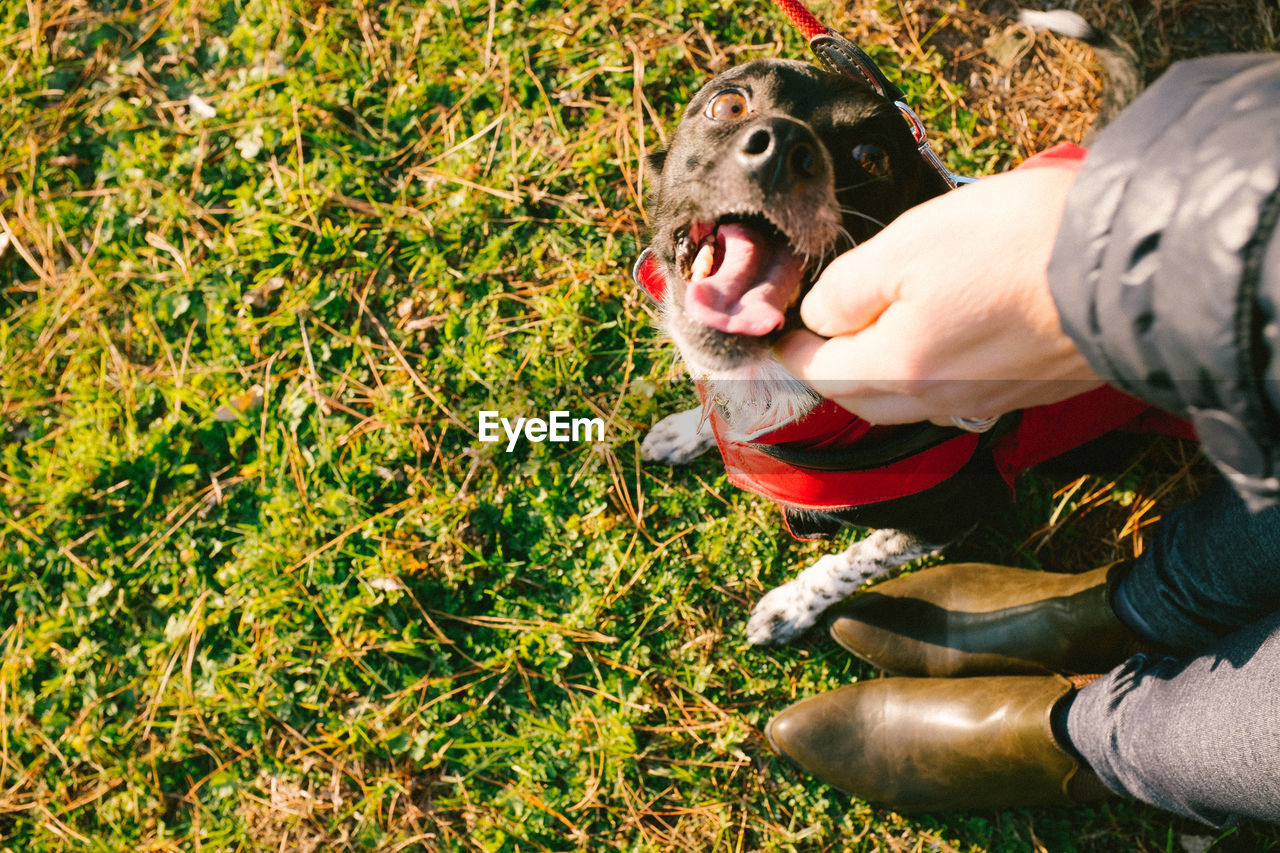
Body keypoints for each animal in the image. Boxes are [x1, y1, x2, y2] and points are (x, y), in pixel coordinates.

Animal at [634, 14, 1182, 645]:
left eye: (872, 155)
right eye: (726, 104)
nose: (782, 150)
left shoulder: (959, 509)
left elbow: (853, 560)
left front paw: (789, 607)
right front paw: (684, 430)